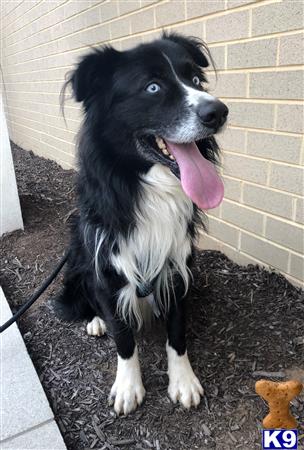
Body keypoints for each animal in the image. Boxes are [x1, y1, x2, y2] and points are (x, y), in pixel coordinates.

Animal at [55, 32, 229, 414]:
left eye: (196, 80)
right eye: (153, 87)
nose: (220, 112)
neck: (148, 189)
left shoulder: (176, 264)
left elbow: (177, 331)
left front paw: (183, 381)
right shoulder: (108, 265)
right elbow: (123, 337)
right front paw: (127, 386)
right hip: (78, 259)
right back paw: (96, 321)